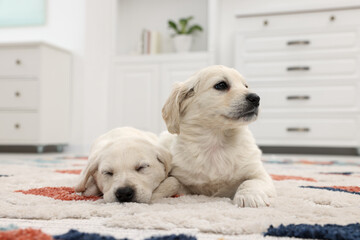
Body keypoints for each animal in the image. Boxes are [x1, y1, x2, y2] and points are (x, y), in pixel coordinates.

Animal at [162, 64, 278, 207]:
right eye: (221, 85)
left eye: (246, 86)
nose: (256, 98)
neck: (216, 140)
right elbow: (173, 182)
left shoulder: (259, 173)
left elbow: (250, 182)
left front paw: (249, 197)